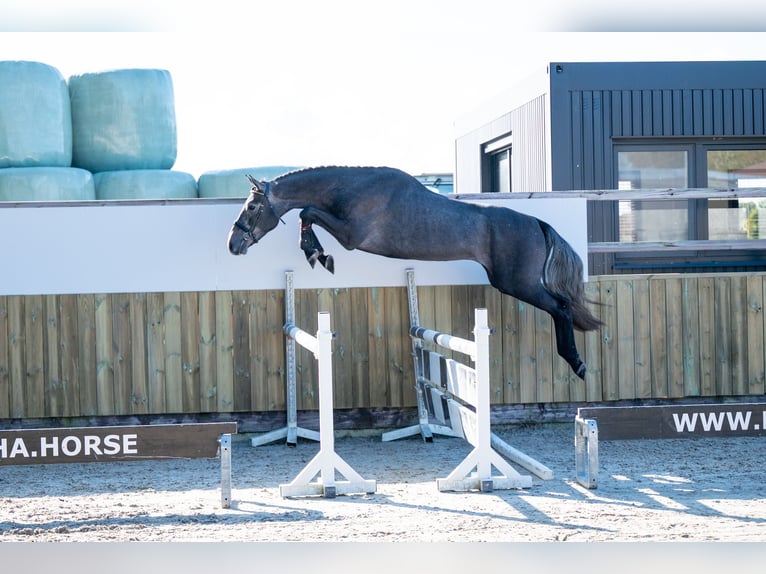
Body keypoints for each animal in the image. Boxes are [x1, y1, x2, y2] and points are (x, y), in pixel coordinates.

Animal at [225, 166, 604, 380]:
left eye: (253, 207)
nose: (233, 244)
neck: (352, 188)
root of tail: (537, 223)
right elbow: (307, 213)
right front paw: (316, 253)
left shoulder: (351, 236)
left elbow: (307, 211)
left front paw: (318, 254)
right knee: (562, 307)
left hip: (517, 283)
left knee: (562, 308)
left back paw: (577, 363)